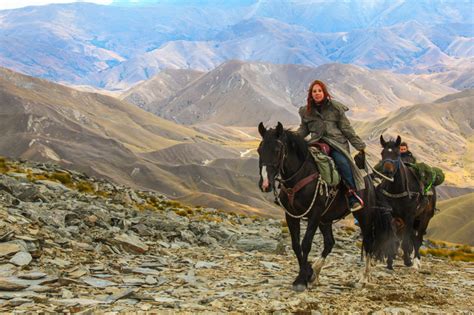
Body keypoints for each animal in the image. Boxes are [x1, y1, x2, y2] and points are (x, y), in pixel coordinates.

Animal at [258, 122, 390, 292]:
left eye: (277, 150)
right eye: (259, 150)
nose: (265, 184)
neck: (301, 175)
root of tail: (368, 180)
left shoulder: (314, 214)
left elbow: (306, 244)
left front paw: (301, 280)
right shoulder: (291, 215)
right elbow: (296, 245)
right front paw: (306, 273)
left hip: (364, 216)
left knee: (368, 241)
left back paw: (363, 278)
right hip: (325, 220)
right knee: (329, 242)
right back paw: (315, 273)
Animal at [378, 135, 436, 270]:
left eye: (397, 153)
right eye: (382, 153)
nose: (387, 171)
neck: (397, 189)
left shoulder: (409, 216)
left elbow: (405, 241)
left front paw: (408, 261)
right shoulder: (392, 216)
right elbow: (394, 239)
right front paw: (389, 262)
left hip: (424, 218)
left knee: (418, 239)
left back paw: (416, 261)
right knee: (413, 238)